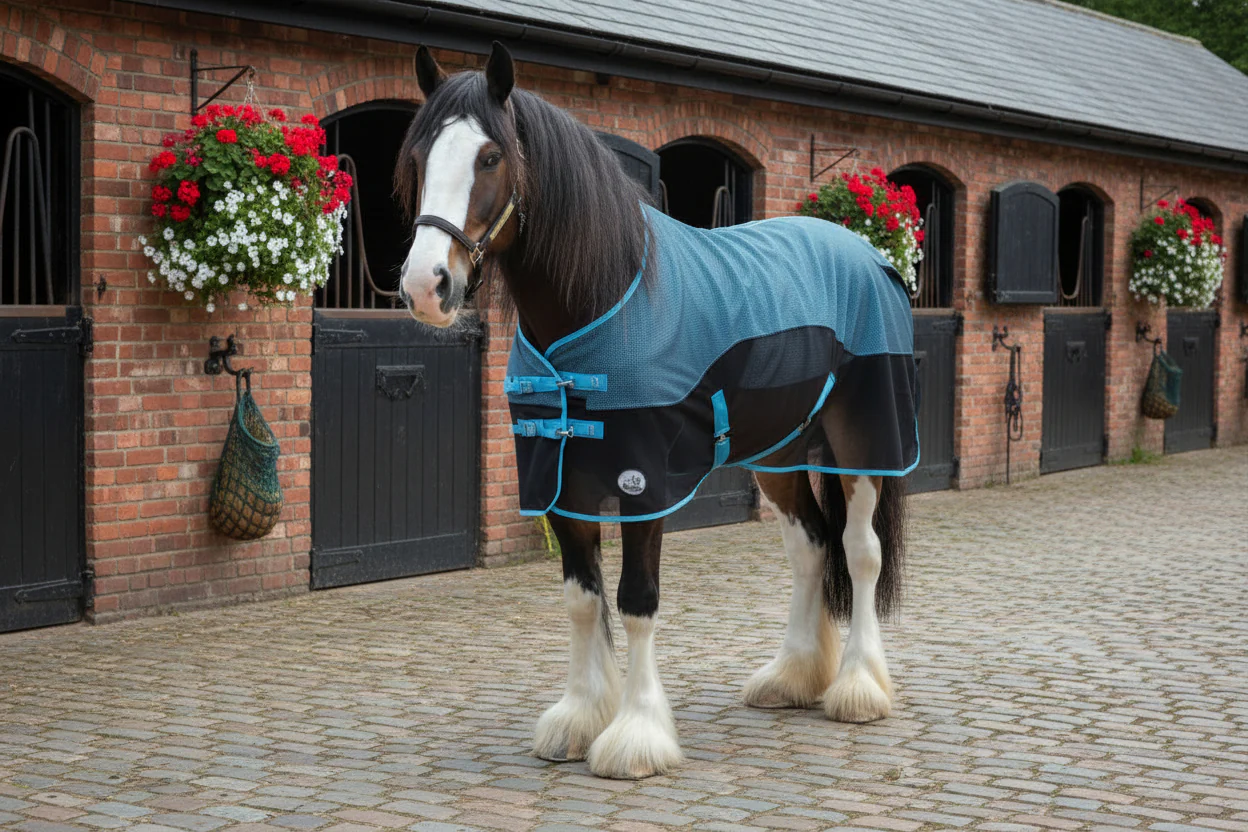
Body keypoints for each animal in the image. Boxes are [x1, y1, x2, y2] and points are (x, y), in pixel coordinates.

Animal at [393, 43, 916, 780]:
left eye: (490, 157)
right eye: (418, 156)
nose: (425, 286)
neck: (605, 300)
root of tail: (871, 256)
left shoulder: (644, 485)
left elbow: (636, 601)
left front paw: (636, 735)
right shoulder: (559, 482)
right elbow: (582, 600)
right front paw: (580, 716)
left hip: (866, 440)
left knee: (859, 550)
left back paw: (858, 686)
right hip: (777, 454)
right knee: (810, 547)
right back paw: (791, 676)